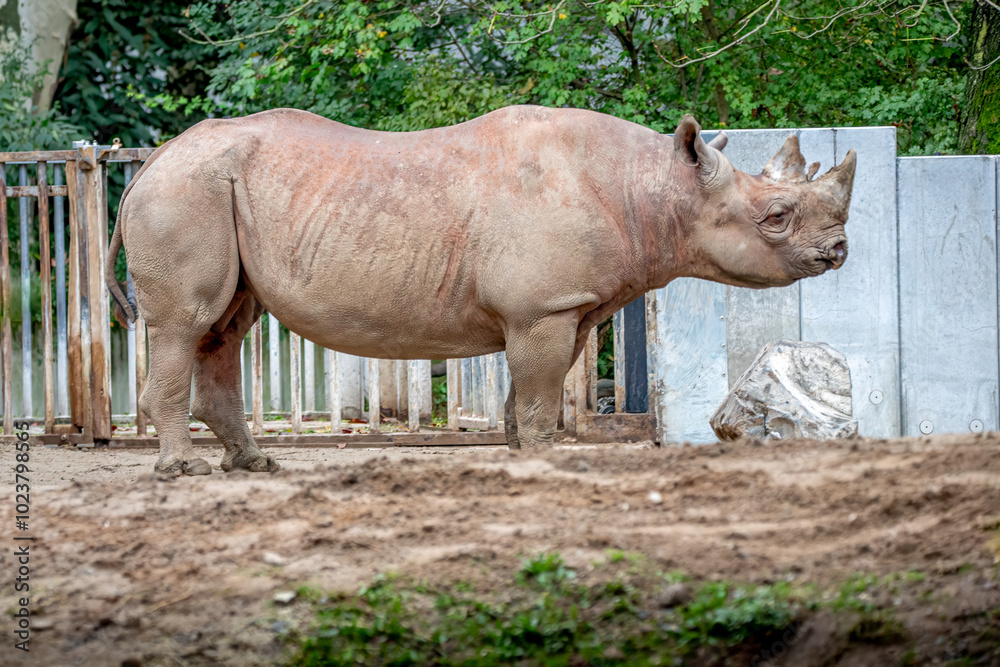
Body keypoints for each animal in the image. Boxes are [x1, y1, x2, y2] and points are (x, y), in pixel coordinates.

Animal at [105, 105, 856, 476]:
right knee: (185, 323)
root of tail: (151, 162)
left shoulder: (559, 308)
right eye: (775, 217)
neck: (654, 189)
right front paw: (547, 461)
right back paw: (179, 473)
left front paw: (519, 454)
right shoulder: (543, 307)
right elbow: (542, 394)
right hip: (188, 192)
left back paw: (254, 465)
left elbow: (527, 394)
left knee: (226, 325)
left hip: (212, 189)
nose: (838, 252)